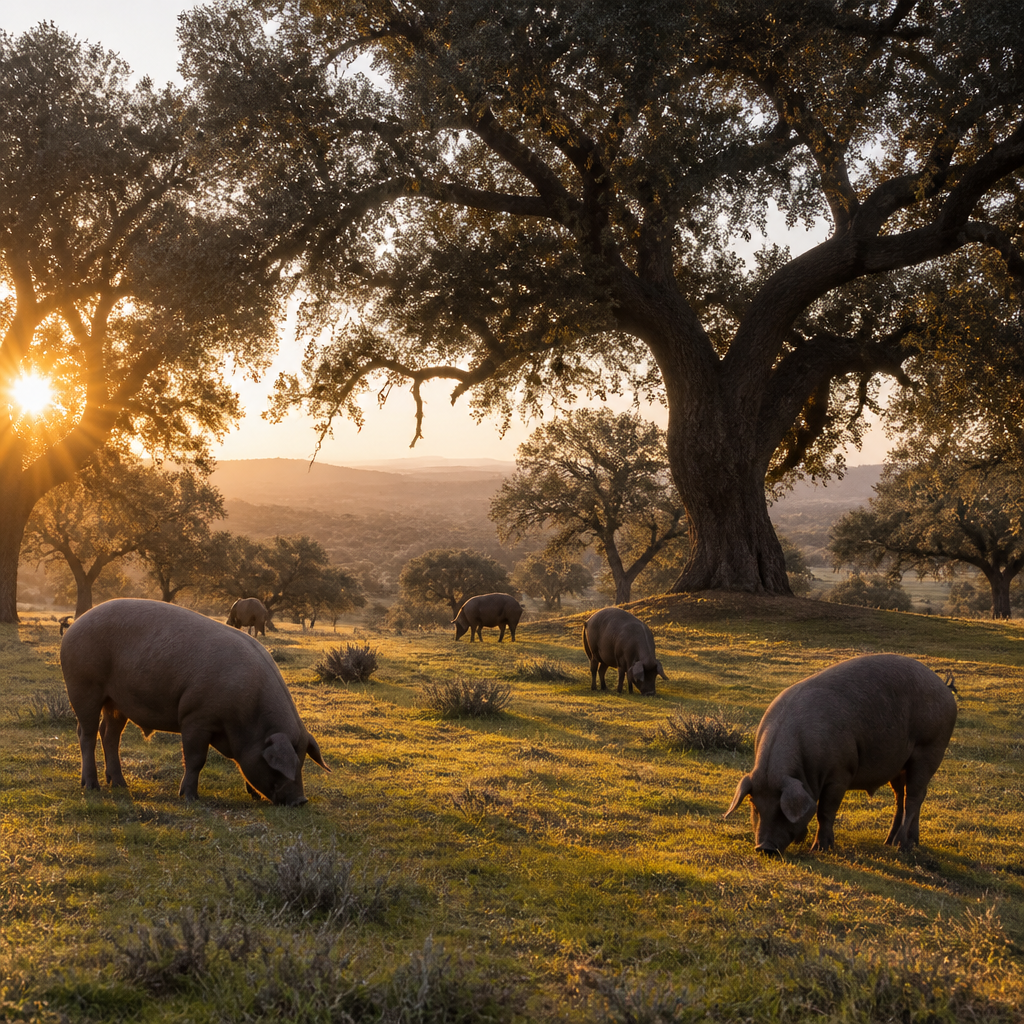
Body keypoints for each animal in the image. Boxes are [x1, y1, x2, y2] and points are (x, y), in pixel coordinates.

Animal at [60, 599, 329, 805]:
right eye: (281, 765)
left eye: (302, 762)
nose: (301, 801)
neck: (247, 716)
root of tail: (75, 625)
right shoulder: (196, 717)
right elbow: (196, 758)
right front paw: (189, 798)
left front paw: (252, 795)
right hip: (83, 687)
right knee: (86, 733)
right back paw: (92, 786)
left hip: (117, 702)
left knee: (109, 734)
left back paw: (119, 784)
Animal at [724, 654, 957, 854]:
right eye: (754, 804)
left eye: (782, 807)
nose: (764, 848)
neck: (803, 768)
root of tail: (944, 688)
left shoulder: (840, 773)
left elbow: (825, 811)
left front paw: (820, 849)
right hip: (900, 765)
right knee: (902, 797)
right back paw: (894, 842)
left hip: (930, 749)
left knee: (913, 797)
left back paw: (900, 846)